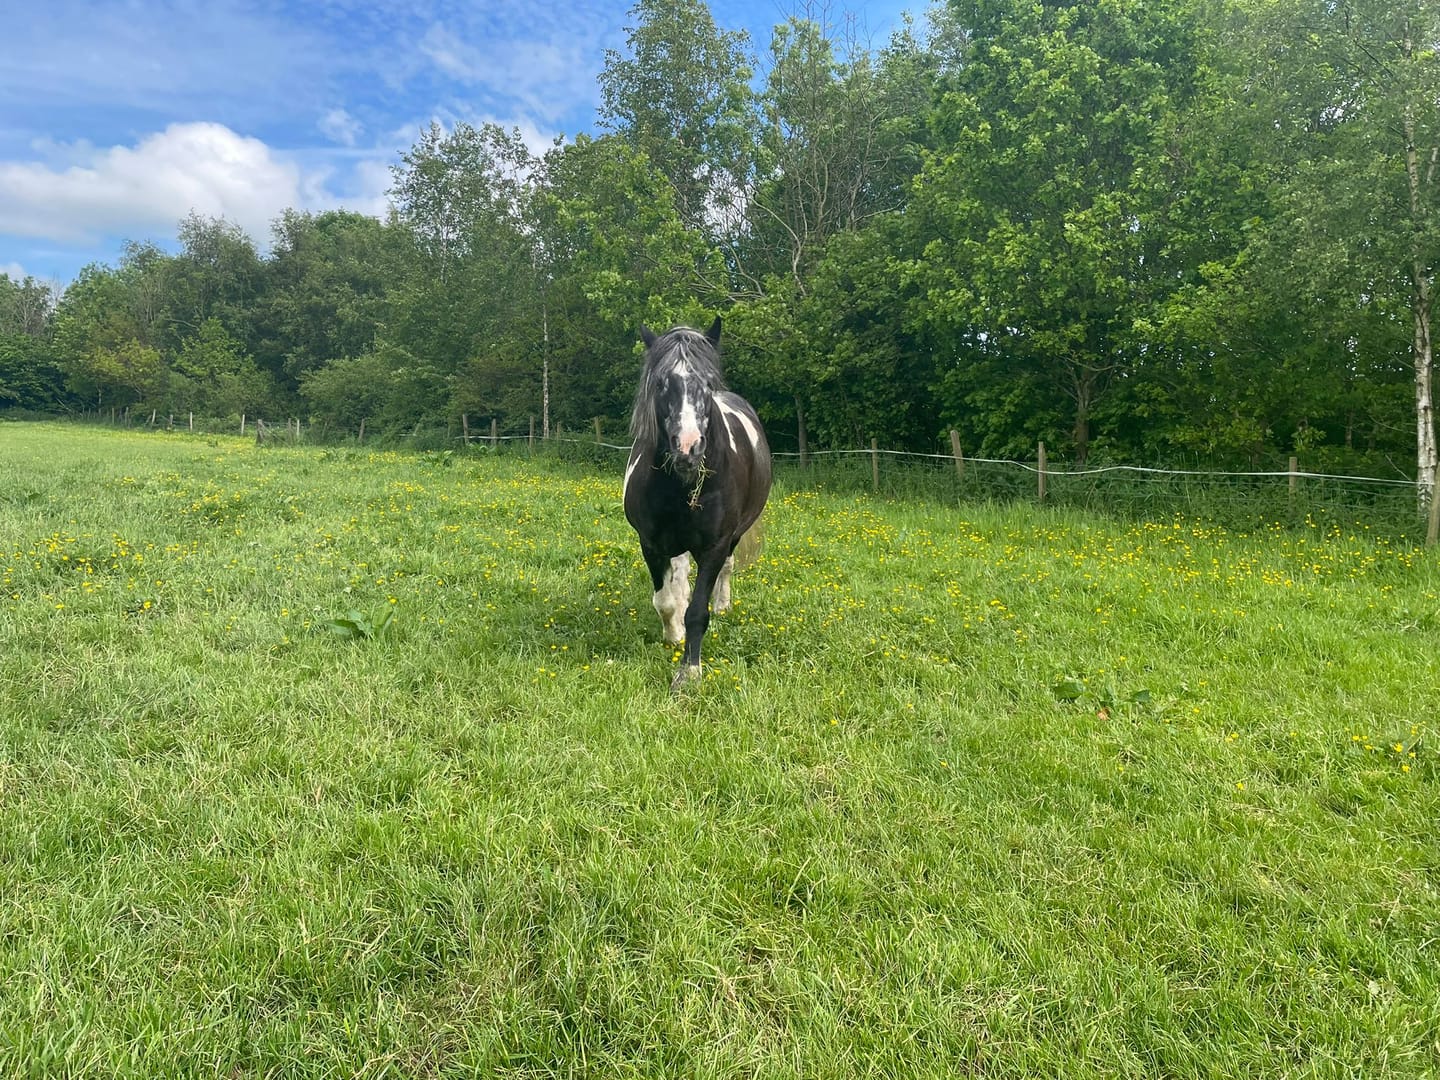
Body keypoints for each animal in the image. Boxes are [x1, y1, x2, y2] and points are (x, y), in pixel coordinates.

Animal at [623, 318, 772, 691]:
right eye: (661, 383)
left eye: (707, 382)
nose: (688, 448)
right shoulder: (650, 543)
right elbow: (664, 600)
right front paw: (673, 635)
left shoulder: (715, 546)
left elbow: (698, 613)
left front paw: (689, 671)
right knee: (678, 574)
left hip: (733, 538)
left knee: (727, 571)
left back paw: (723, 606)